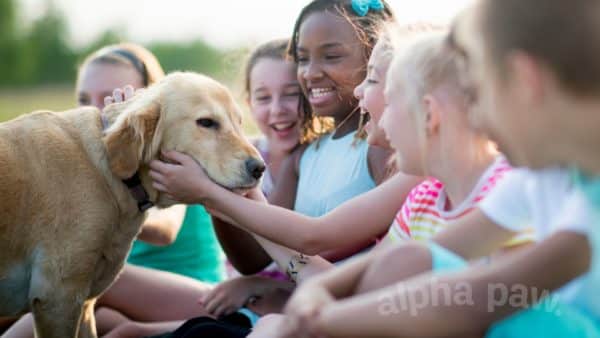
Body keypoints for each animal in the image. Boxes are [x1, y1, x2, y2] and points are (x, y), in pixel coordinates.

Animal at [0, 70, 264, 336]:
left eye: (239, 123)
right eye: (207, 122)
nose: (259, 168)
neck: (111, 171)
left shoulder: (82, 303)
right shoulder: (58, 299)